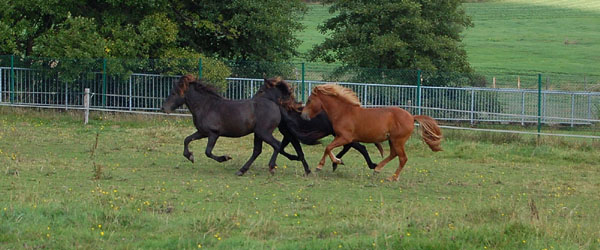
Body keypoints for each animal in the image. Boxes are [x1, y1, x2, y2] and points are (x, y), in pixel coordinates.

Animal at [159, 75, 310, 175]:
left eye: (174, 93)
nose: (163, 108)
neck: (206, 106)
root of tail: (275, 105)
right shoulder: (202, 132)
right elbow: (187, 140)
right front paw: (190, 156)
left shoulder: (213, 134)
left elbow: (208, 152)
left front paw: (225, 158)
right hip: (258, 133)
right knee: (258, 150)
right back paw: (242, 170)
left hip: (264, 132)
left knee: (276, 145)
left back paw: (271, 166)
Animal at [300, 84, 440, 182]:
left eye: (309, 100)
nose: (303, 116)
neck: (343, 112)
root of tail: (412, 117)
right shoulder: (344, 138)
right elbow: (330, 148)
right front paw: (335, 161)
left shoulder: (345, 138)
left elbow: (328, 148)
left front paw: (324, 165)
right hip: (392, 140)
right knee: (393, 154)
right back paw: (377, 169)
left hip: (398, 140)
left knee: (403, 158)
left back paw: (392, 178)